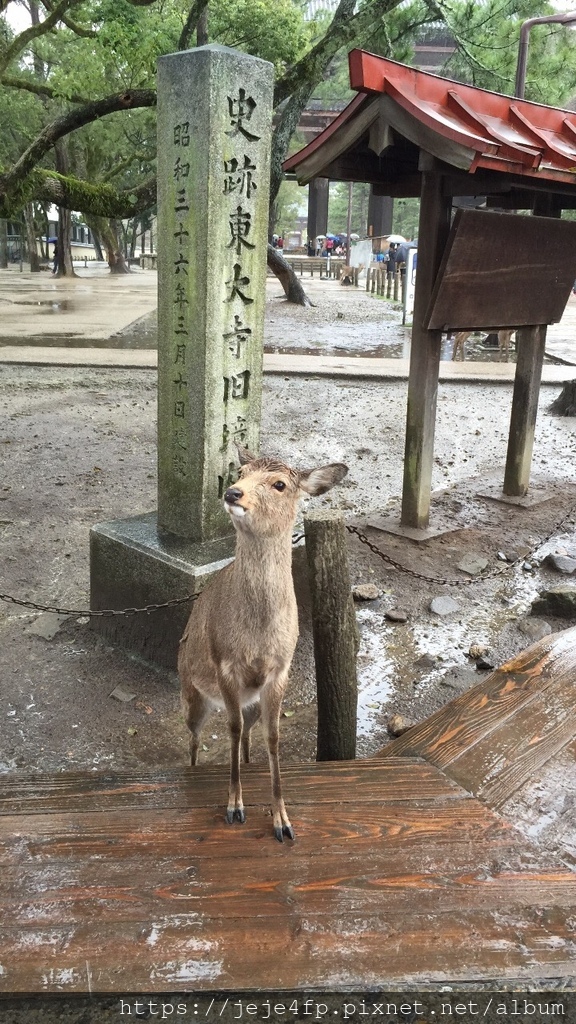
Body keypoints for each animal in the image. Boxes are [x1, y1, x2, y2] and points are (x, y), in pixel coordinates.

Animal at [176, 446, 344, 839]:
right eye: (241, 471)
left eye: (280, 484)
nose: (232, 493)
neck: (257, 635)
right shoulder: (225, 664)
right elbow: (232, 730)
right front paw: (234, 806)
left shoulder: (280, 670)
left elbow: (273, 737)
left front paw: (282, 821)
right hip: (191, 694)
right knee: (193, 736)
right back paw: (193, 769)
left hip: (248, 699)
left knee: (249, 734)